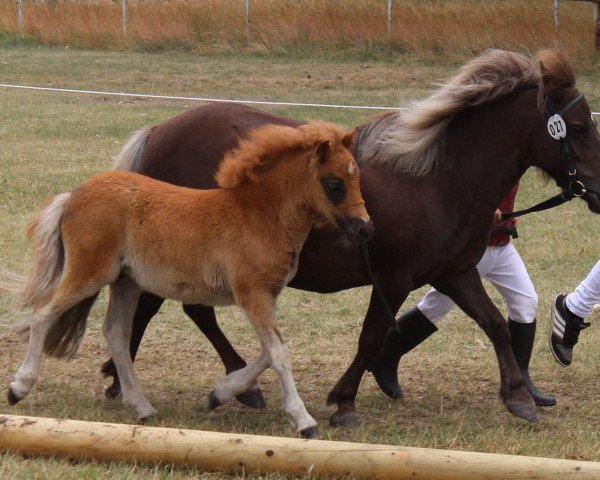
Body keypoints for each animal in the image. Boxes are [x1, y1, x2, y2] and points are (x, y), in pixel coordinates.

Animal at [103, 48, 600, 426]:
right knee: (171, 310)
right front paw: (343, 401)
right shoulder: (393, 278)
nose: (598, 190)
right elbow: (372, 337)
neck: (437, 177)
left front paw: (517, 395)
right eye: (578, 128)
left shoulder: (454, 273)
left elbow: (495, 324)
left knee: (177, 310)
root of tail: (159, 131)